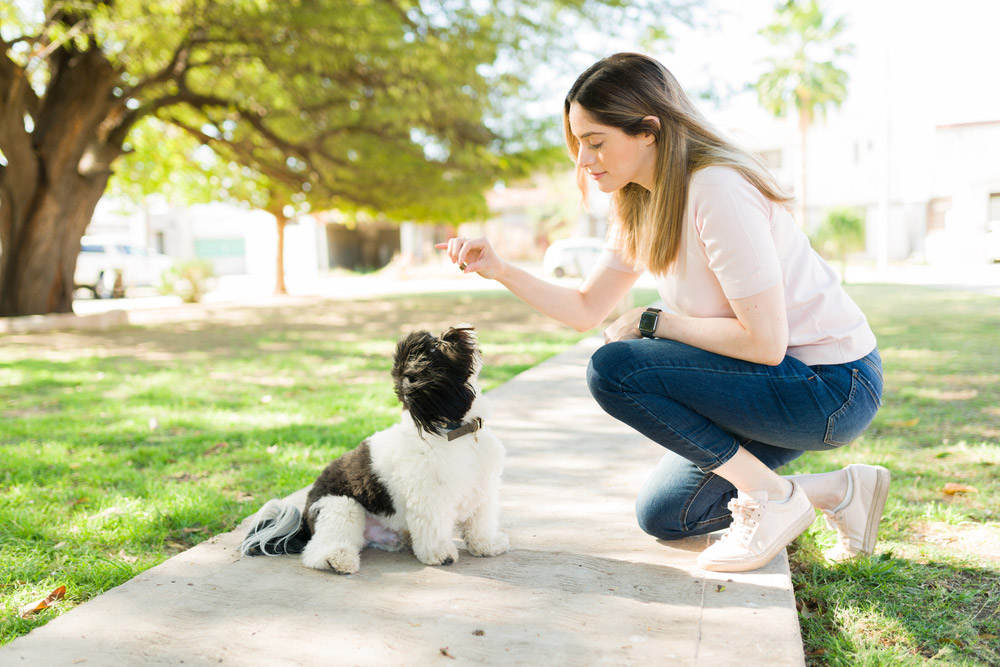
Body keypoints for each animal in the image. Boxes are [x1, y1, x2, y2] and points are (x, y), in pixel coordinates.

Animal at [240, 324, 508, 576]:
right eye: (437, 347)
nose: (456, 330)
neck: (456, 433)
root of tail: (305, 519)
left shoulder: (482, 492)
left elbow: (480, 525)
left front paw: (486, 545)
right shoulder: (430, 498)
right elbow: (434, 529)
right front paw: (440, 554)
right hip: (342, 508)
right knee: (318, 549)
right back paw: (336, 560)